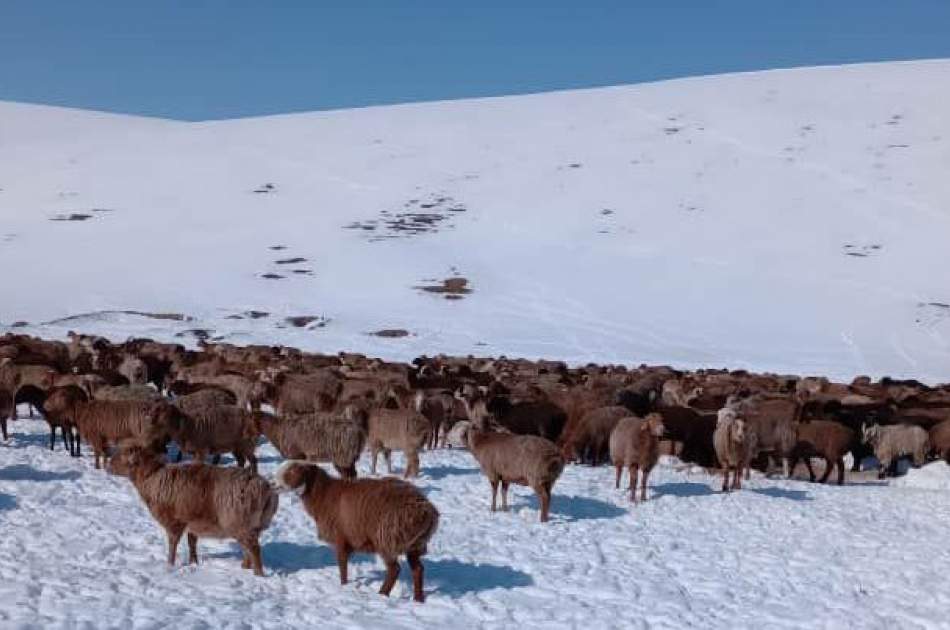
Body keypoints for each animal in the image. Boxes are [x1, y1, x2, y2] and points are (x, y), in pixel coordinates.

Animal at [109, 444, 278, 576]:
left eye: (122, 455)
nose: (107, 465)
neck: (152, 478)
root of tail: (267, 490)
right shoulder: (192, 522)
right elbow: (192, 543)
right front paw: (193, 563)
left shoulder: (174, 521)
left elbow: (173, 544)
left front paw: (169, 565)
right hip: (250, 525)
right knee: (248, 547)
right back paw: (245, 567)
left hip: (239, 522)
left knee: (254, 549)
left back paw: (257, 574)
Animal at [276, 462, 438, 604]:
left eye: (293, 471)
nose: (274, 484)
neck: (323, 495)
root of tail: (426, 509)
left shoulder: (340, 537)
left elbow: (342, 565)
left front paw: (343, 586)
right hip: (414, 543)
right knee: (418, 569)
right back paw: (418, 599)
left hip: (387, 538)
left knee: (394, 569)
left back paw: (382, 594)